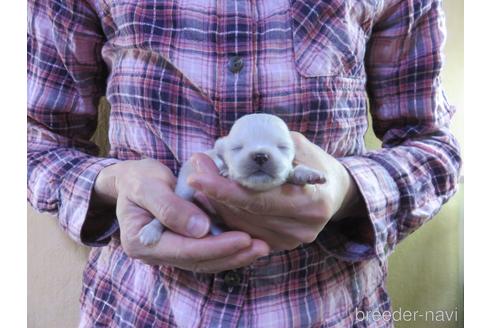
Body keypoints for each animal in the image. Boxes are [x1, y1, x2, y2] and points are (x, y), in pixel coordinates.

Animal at [138, 114, 326, 245]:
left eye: (282, 147)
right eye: (237, 148)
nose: (260, 155)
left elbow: (294, 171)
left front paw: (309, 174)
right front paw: (226, 171)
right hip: (183, 190)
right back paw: (150, 231)